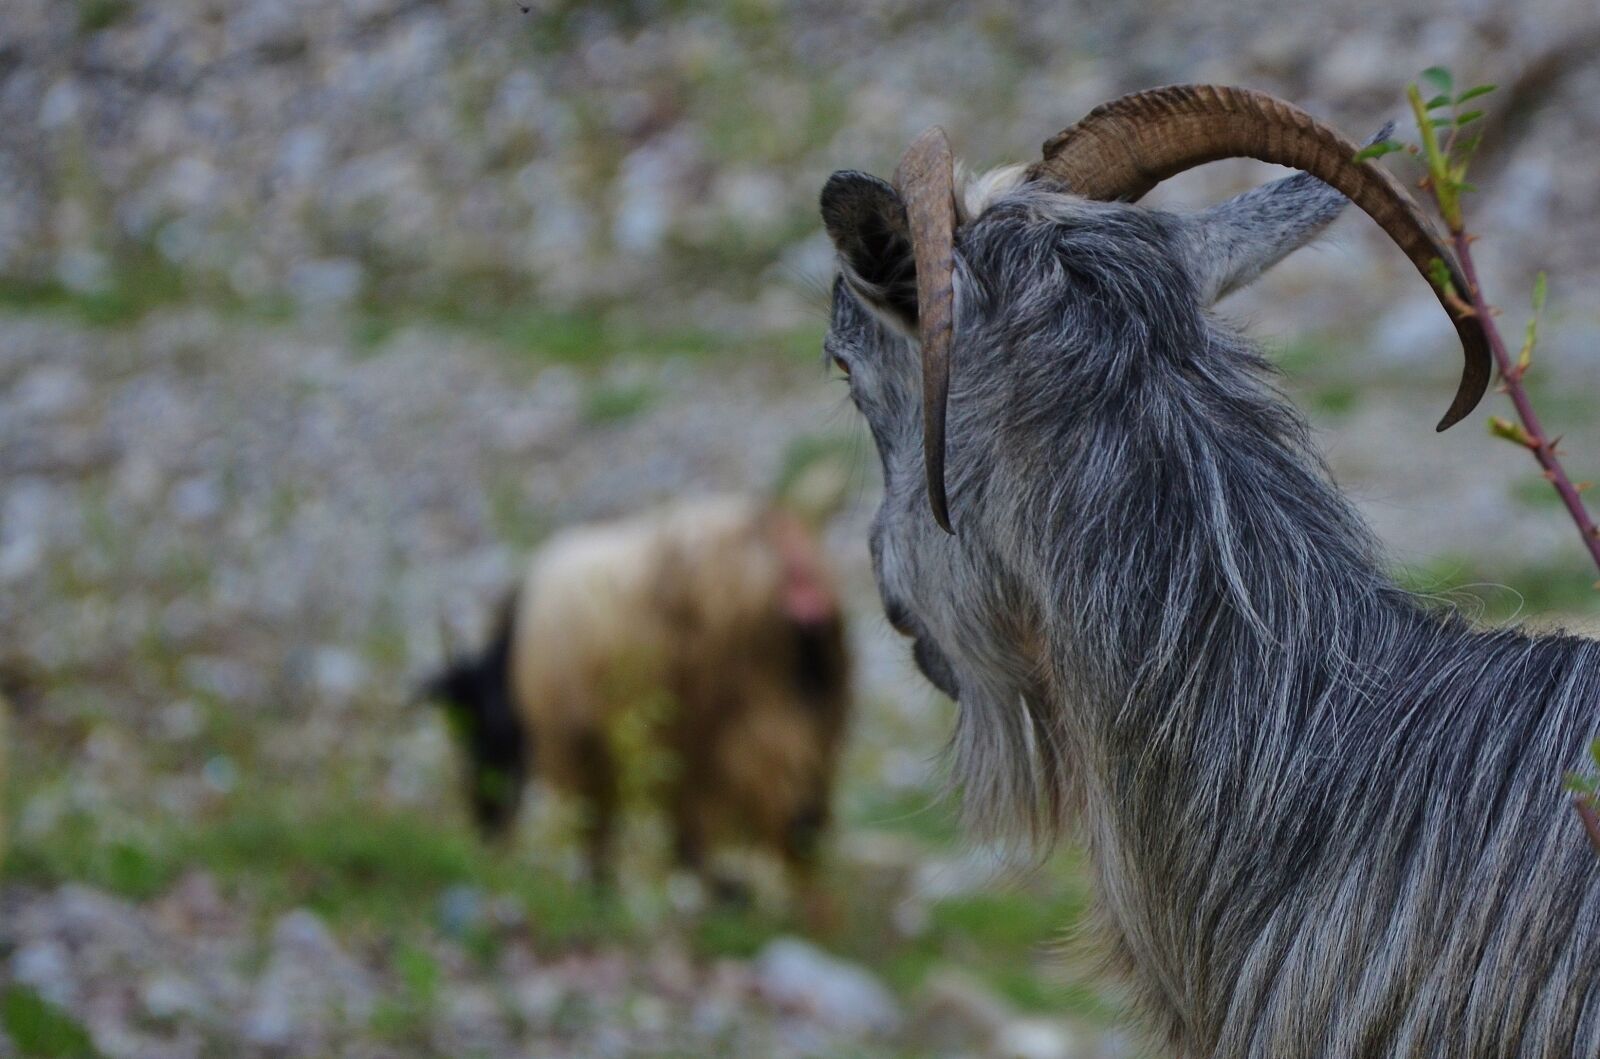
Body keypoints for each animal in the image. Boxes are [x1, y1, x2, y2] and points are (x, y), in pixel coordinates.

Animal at [423, 495, 851, 902]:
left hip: (745, 708)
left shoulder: (575, 742)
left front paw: (599, 887)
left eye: (471, 733)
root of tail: (784, 550)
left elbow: (595, 819)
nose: (484, 829)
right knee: (807, 807)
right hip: (819, 701)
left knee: (787, 815)